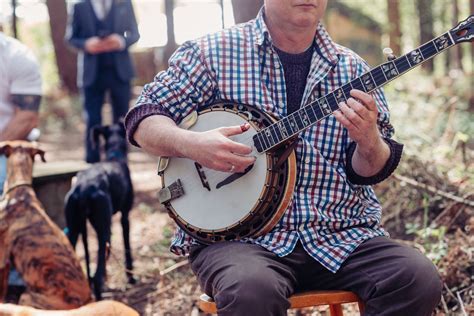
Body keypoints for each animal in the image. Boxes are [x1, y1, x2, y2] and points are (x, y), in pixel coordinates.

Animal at [63, 122, 135, 300]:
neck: (114, 156)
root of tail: (82, 189)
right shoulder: (125, 216)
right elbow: (127, 247)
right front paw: (131, 277)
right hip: (103, 230)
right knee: (96, 275)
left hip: (74, 229)